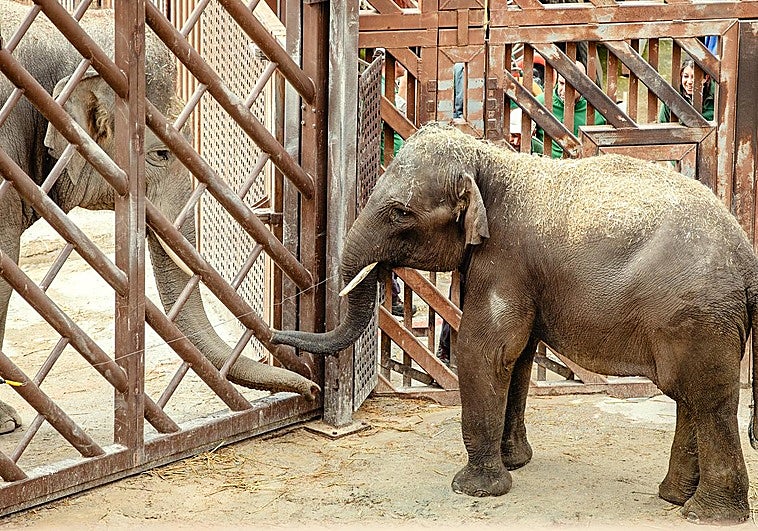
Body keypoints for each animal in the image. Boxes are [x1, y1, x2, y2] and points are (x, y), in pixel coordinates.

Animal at [272, 123, 758, 524]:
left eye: (401, 213)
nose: (274, 336)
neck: (488, 160)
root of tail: (747, 257)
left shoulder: (505, 260)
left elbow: (484, 351)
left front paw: (475, 490)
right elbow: (519, 358)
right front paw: (515, 463)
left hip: (696, 316)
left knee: (706, 399)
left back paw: (706, 514)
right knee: (689, 397)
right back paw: (674, 497)